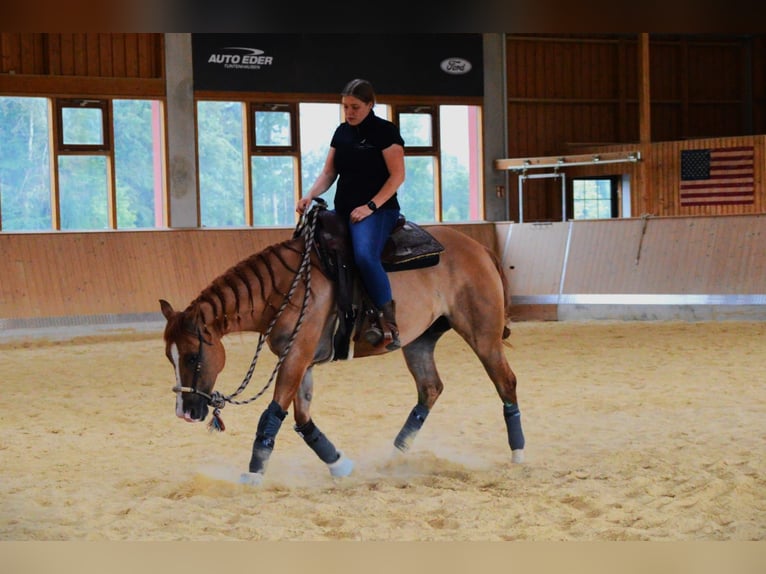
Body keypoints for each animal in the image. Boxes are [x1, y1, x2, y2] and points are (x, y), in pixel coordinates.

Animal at [159, 206, 524, 486]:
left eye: (192, 355)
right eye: (169, 357)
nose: (184, 413)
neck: (285, 287)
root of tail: (479, 249)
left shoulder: (296, 356)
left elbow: (272, 414)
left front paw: (253, 474)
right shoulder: (301, 361)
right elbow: (303, 419)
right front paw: (339, 464)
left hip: (483, 336)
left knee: (506, 383)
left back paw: (518, 453)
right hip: (420, 341)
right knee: (430, 389)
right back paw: (394, 456)